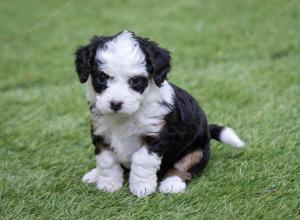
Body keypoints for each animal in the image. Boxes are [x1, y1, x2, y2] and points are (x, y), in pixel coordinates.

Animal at [74, 31, 244, 198]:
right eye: (101, 78)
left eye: (135, 81)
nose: (115, 104)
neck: (127, 115)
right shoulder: (101, 134)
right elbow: (106, 161)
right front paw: (108, 184)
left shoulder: (156, 136)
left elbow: (142, 159)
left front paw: (142, 187)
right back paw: (94, 175)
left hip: (197, 151)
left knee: (184, 168)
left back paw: (172, 184)